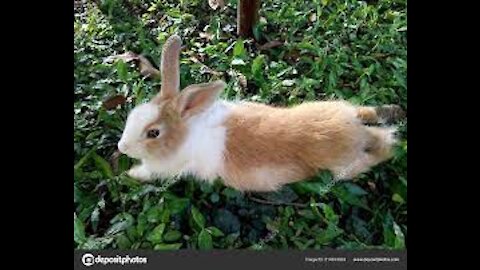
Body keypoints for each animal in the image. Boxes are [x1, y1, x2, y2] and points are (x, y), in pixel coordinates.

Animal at [117, 35, 404, 192]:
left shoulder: (169, 168)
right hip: (341, 109)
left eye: (153, 133)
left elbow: (148, 172)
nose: (122, 147)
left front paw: (129, 174)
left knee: (382, 146)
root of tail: (353, 129)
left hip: (344, 166)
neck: (188, 129)